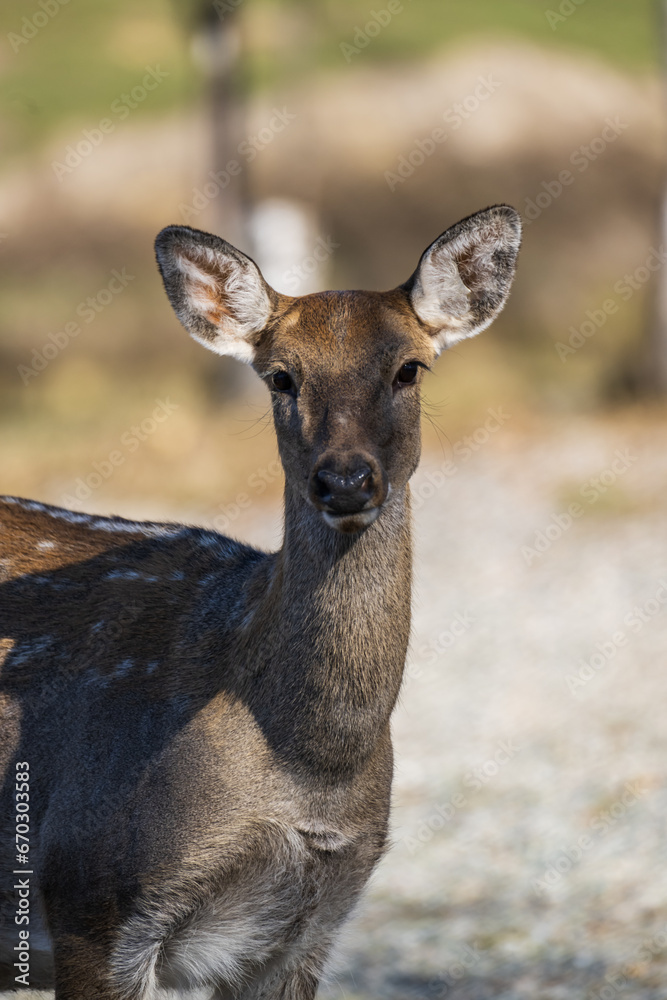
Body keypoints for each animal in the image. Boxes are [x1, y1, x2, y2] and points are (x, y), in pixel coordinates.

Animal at [0, 205, 520, 1000]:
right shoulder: (88, 893)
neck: (308, 772)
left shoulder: (303, 930)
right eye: (280, 376)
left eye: (409, 367)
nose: (344, 481)